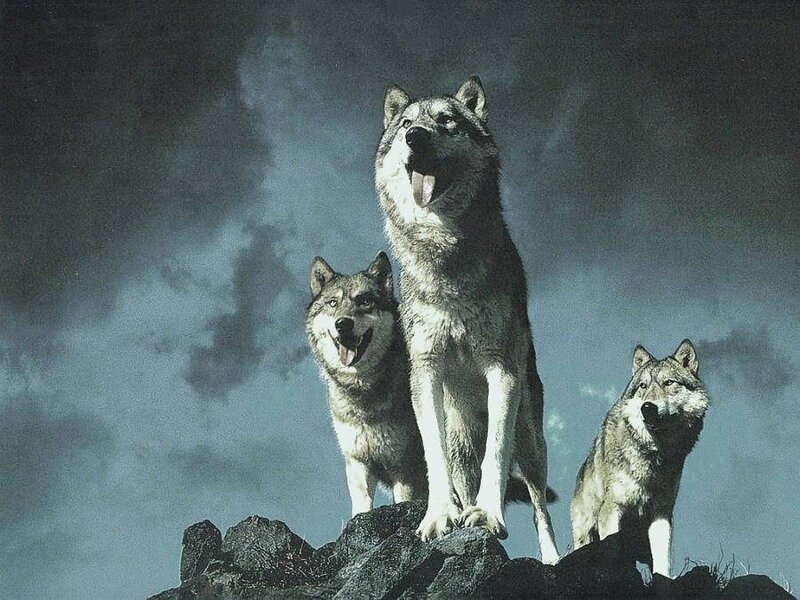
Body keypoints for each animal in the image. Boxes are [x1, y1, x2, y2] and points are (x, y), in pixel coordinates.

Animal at [306, 251, 427, 516]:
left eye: (364, 301)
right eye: (333, 303)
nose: (343, 324)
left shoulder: (404, 466)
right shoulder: (359, 463)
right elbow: (361, 507)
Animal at [375, 75, 559, 564]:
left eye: (447, 121)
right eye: (406, 124)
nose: (416, 138)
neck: (446, 261)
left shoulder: (502, 370)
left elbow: (496, 453)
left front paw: (489, 516)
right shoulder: (426, 373)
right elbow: (433, 459)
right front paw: (440, 517)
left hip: (532, 442)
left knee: (539, 505)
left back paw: (553, 558)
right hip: (460, 436)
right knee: (460, 472)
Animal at [571, 340, 709, 577]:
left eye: (668, 382)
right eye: (643, 386)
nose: (648, 407)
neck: (653, 455)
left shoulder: (661, 514)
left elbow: (663, 562)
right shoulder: (612, 509)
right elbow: (613, 552)